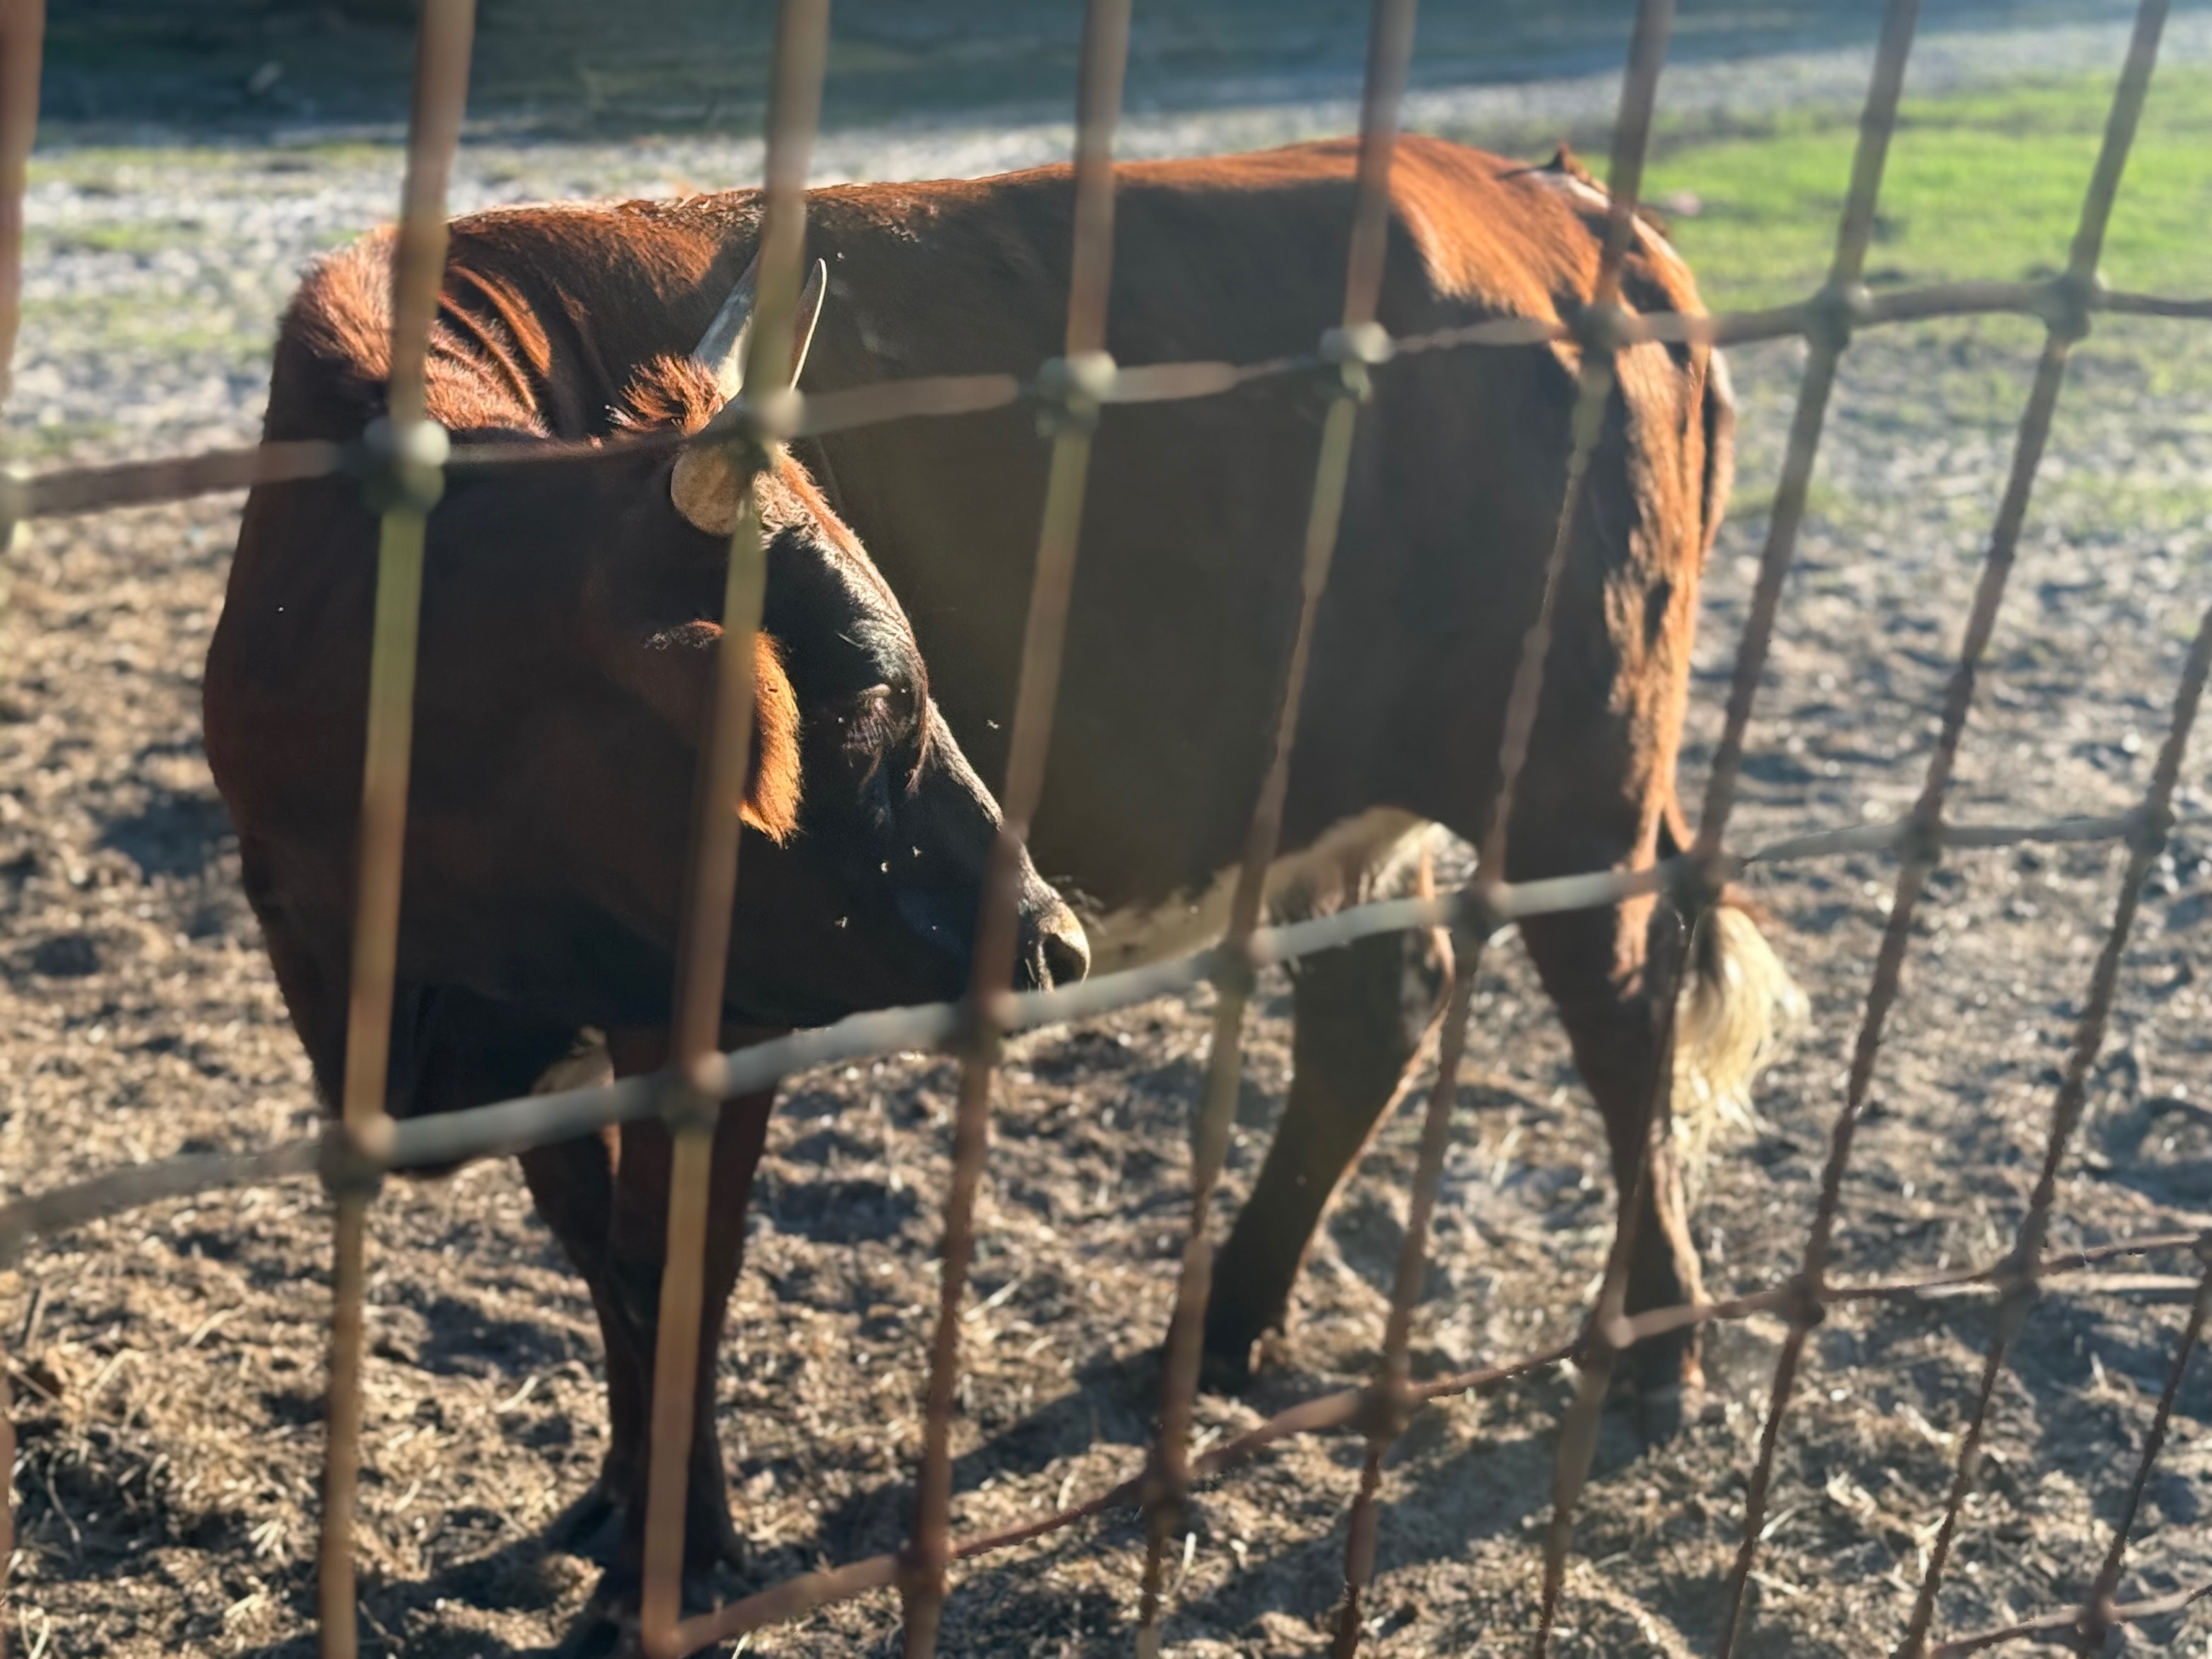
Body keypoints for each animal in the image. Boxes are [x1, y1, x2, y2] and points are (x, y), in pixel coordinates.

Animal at [201, 231, 1090, 1620]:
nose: (1059, 945)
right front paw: (619, 1503)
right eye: (867, 695)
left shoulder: (714, 1011)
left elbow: (677, 1270)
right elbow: (600, 1257)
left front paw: (679, 1551)